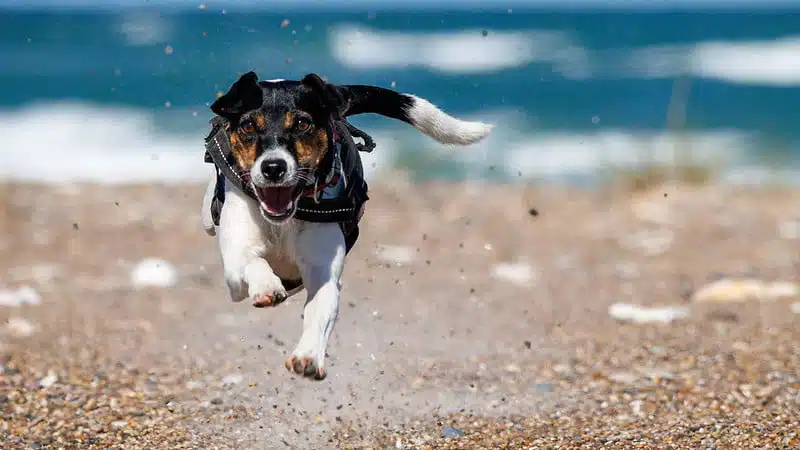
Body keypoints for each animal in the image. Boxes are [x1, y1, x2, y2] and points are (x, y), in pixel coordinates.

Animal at [198, 71, 494, 380]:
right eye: (248, 125)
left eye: (302, 124)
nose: (274, 167)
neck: (283, 221)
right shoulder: (235, 266)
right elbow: (252, 263)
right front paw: (267, 286)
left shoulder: (323, 274)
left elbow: (319, 313)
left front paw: (308, 355)